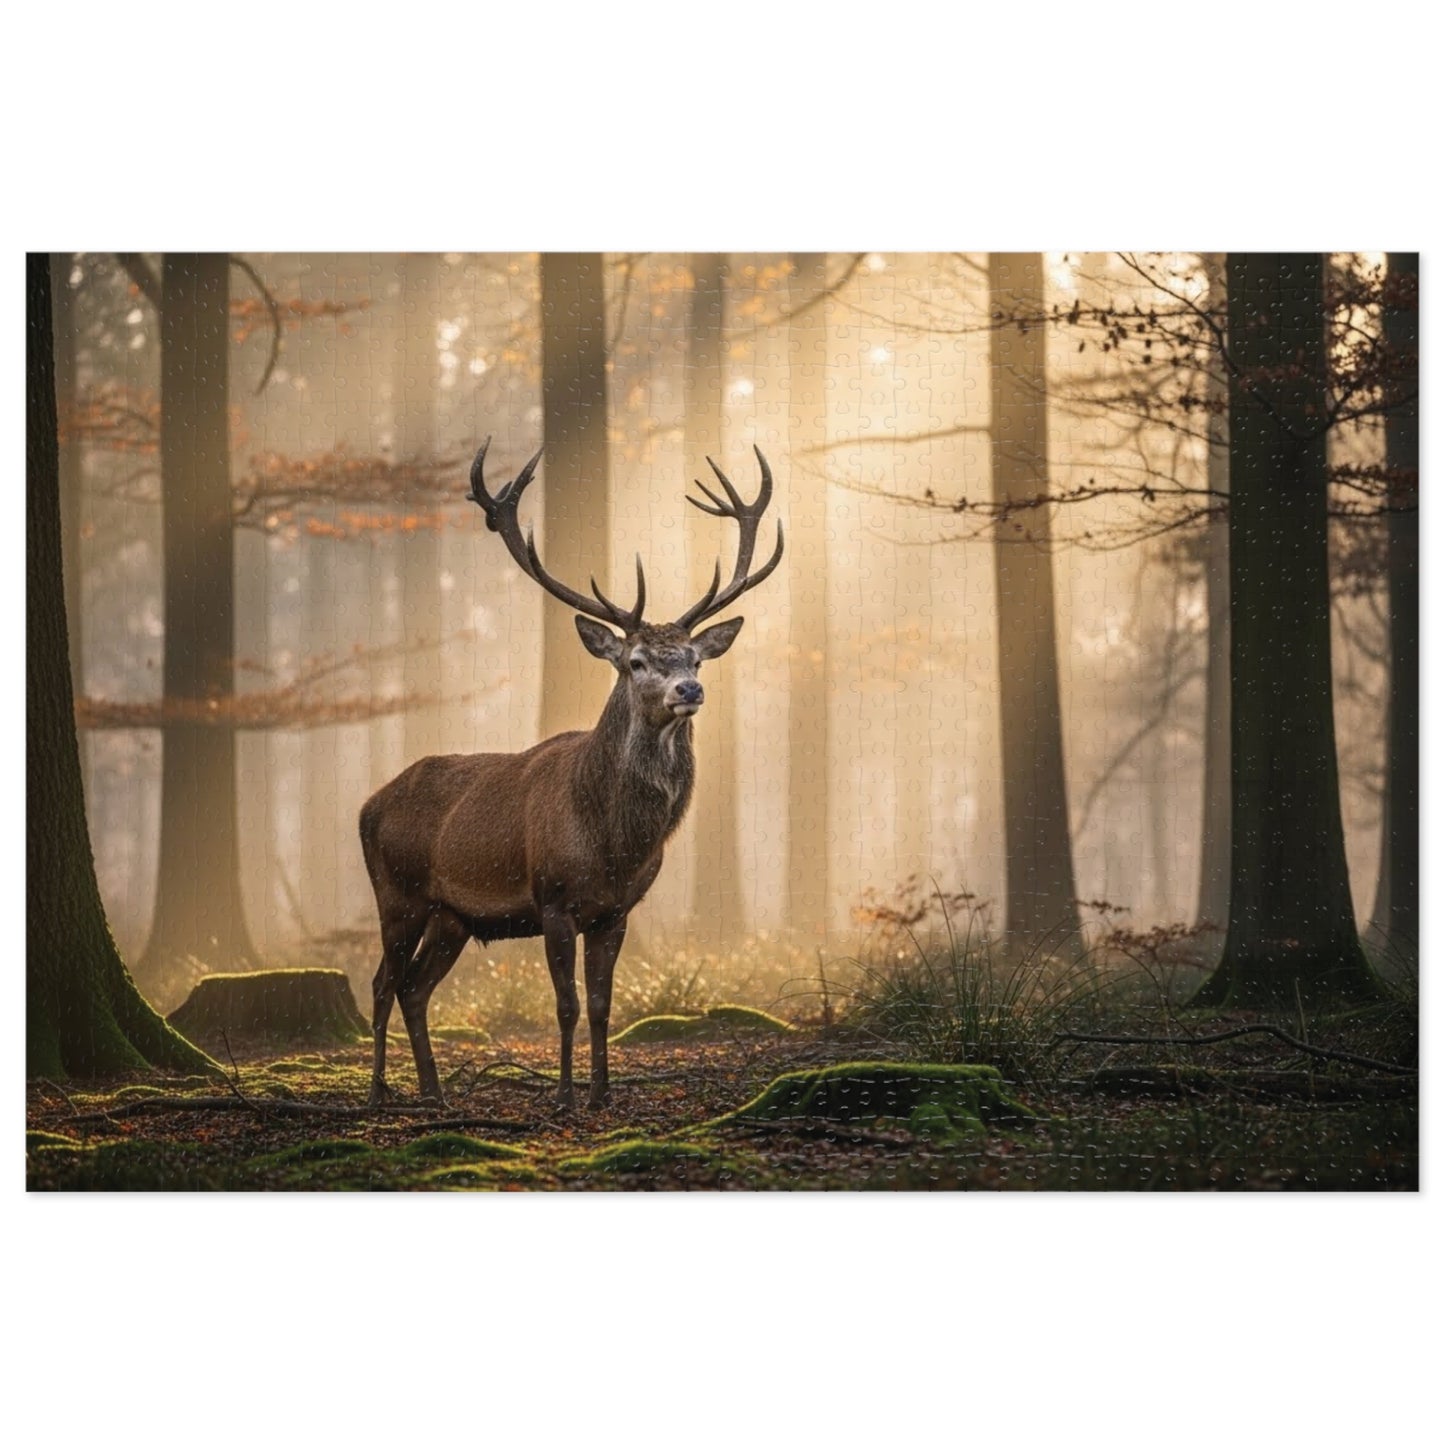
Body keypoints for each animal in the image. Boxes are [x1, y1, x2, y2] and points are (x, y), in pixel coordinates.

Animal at [358, 438, 783, 1111]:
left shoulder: (617, 910)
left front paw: (603, 1093)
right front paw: (562, 1094)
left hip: (453, 916)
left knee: (414, 988)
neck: (613, 843)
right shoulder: (553, 898)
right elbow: (565, 1005)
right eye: (636, 661)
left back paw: (434, 1092)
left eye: (693, 657)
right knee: (380, 984)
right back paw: (378, 1093)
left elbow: (604, 1005)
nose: (689, 690)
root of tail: (368, 804)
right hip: (397, 892)